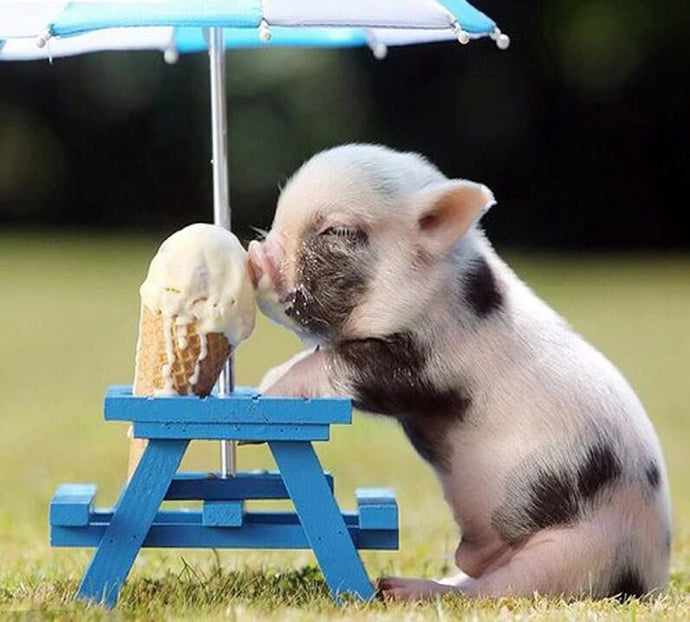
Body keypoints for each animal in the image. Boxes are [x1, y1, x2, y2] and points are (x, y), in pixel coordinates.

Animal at [247, 144, 671, 601]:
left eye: (338, 231)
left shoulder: (426, 365)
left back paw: (397, 590)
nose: (255, 254)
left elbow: (341, 363)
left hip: (576, 554)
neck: (439, 291)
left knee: (494, 590)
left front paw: (268, 390)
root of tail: (652, 576)